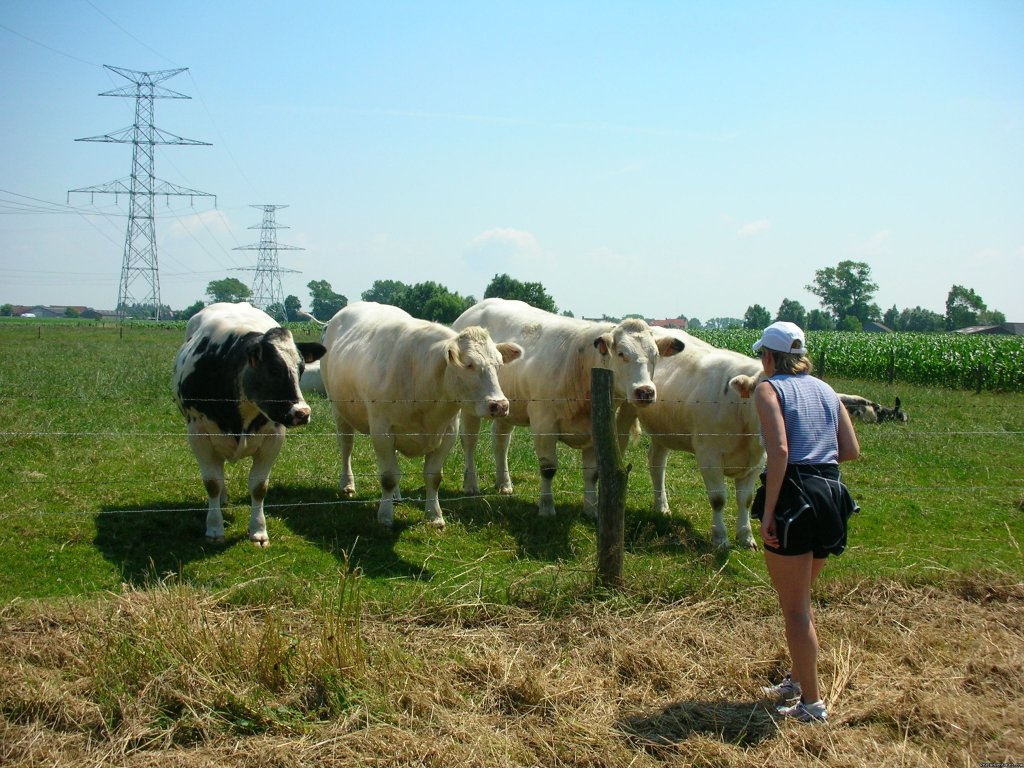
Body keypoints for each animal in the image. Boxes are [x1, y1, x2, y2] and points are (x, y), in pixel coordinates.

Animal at [323, 301, 524, 528]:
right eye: (469, 364)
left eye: (498, 365)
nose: (500, 405)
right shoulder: (381, 431)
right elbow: (388, 477)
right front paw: (385, 516)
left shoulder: (447, 433)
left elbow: (433, 477)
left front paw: (434, 516)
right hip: (338, 410)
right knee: (346, 446)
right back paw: (347, 484)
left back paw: (396, 496)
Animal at [452, 296, 684, 520]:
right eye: (621, 353)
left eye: (655, 356)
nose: (645, 391)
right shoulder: (543, 425)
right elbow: (548, 469)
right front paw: (546, 508)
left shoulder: (595, 432)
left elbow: (593, 474)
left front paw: (591, 510)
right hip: (471, 407)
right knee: (469, 442)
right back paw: (471, 484)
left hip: (505, 406)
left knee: (500, 442)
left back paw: (504, 484)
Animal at [622, 327, 770, 548]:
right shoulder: (709, 456)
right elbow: (718, 499)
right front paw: (720, 539)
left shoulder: (757, 462)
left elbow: (746, 500)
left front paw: (746, 537)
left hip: (663, 431)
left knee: (657, 463)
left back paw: (662, 507)